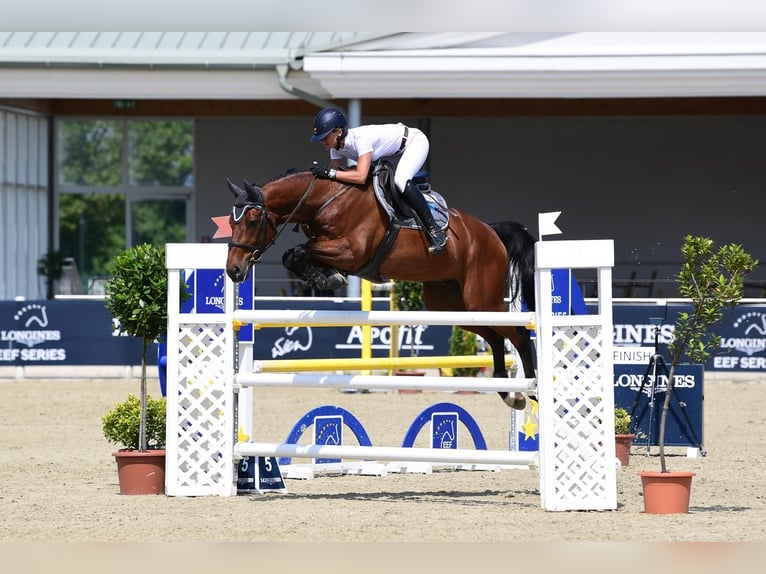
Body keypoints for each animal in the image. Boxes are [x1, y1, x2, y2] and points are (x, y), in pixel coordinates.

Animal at [225, 169, 536, 409]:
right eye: (230, 222)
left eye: (252, 221)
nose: (234, 270)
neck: (324, 200)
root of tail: (491, 231)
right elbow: (295, 255)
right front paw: (326, 277)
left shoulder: (351, 252)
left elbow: (299, 251)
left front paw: (327, 278)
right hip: (453, 306)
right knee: (495, 338)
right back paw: (509, 393)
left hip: (482, 300)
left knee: (518, 335)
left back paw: (531, 389)